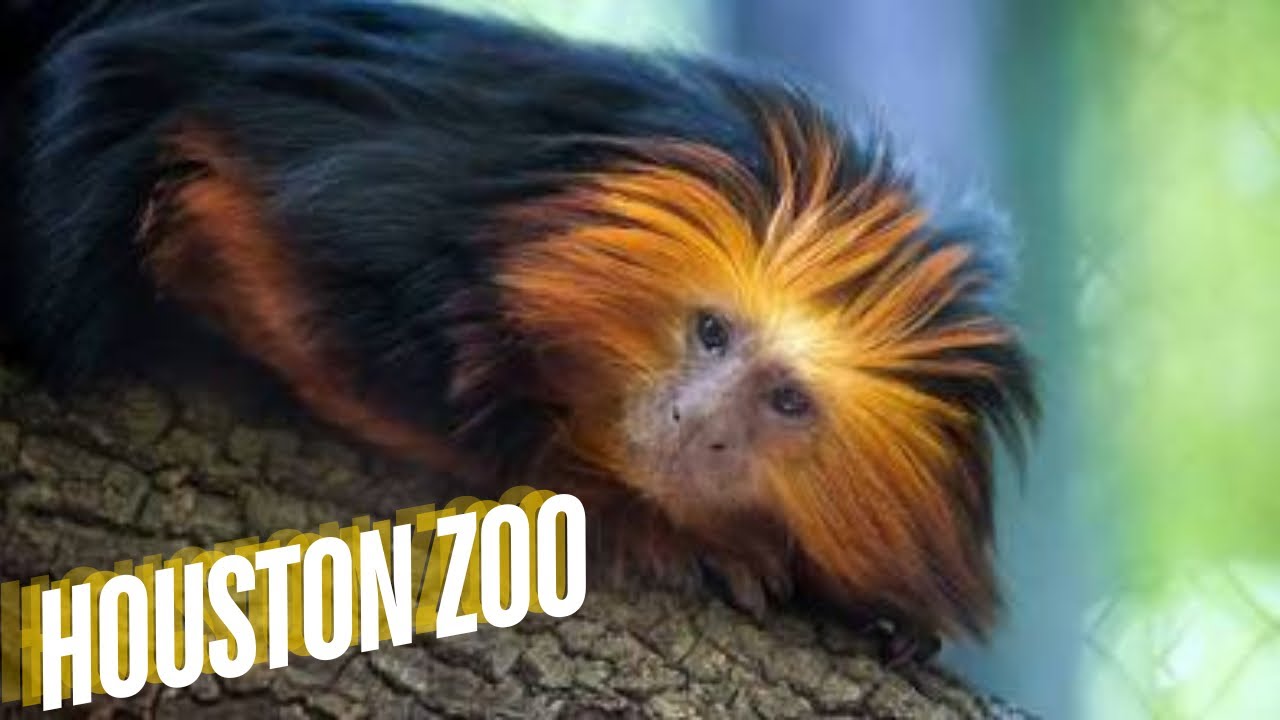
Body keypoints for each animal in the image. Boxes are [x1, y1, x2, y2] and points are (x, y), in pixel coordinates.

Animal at [1, 0, 1036, 661]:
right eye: (709, 334)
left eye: (786, 401)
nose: (697, 424)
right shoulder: (370, 182)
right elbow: (242, 226)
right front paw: (622, 507)